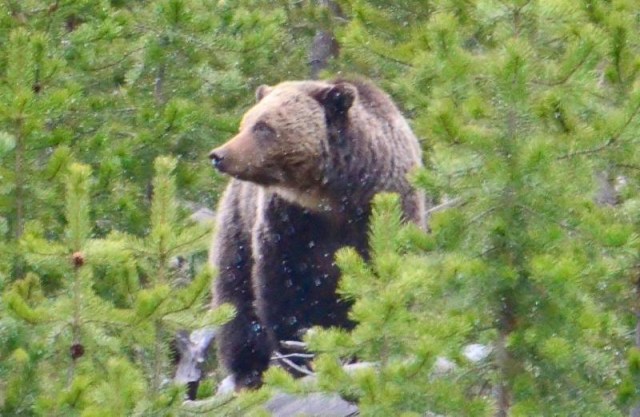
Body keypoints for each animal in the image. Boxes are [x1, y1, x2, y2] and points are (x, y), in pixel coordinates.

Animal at [208, 78, 425, 389]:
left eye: (263, 126)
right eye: (245, 122)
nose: (219, 155)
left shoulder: (384, 211)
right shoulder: (287, 222)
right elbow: (284, 291)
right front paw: (298, 358)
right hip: (237, 228)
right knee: (236, 301)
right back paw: (249, 372)